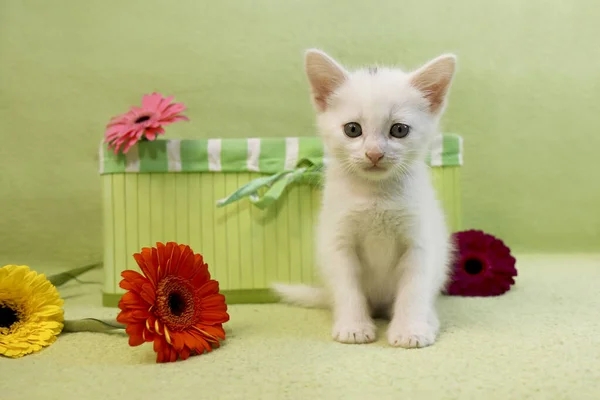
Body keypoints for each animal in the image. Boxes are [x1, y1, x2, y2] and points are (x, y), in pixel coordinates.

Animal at [274, 50, 458, 348]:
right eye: (352, 129)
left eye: (399, 130)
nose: (374, 154)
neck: (375, 194)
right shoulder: (338, 241)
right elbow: (348, 287)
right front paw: (353, 327)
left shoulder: (420, 242)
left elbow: (414, 288)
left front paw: (410, 330)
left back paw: (427, 319)